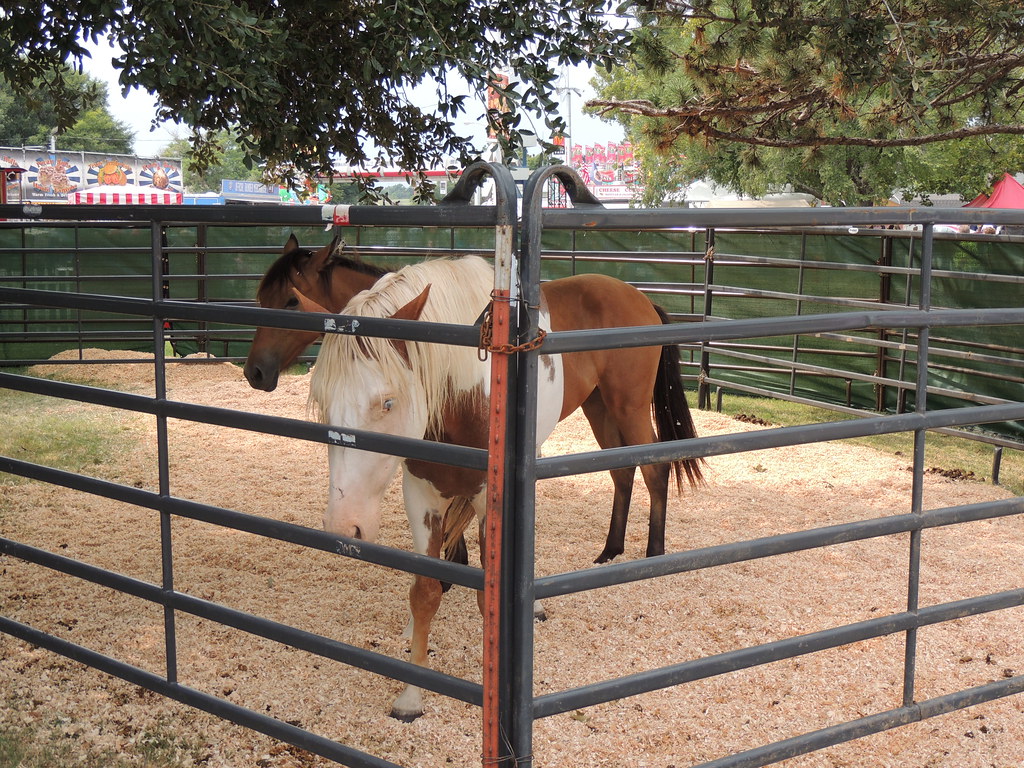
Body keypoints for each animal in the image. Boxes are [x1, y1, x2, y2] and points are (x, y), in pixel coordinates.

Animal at [309, 255, 704, 720]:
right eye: (322, 404)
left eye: (387, 402)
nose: (343, 526)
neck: (462, 397)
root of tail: (640, 298)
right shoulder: (420, 495)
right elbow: (424, 591)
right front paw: (411, 695)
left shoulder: (486, 502)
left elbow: (486, 596)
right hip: (599, 408)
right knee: (621, 473)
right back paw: (610, 551)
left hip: (628, 407)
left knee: (654, 470)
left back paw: (653, 556)